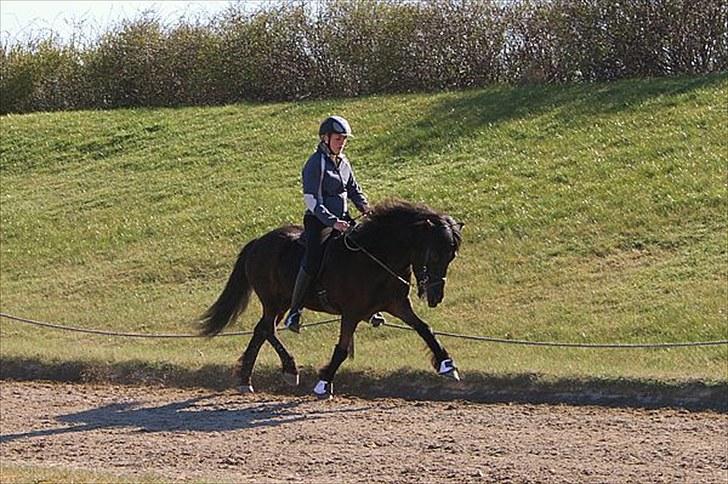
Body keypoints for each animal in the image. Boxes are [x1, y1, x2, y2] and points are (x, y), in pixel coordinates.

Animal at [196, 198, 464, 398]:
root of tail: (258, 242)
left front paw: (446, 364)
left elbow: (424, 328)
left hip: (281, 303)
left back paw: (246, 379)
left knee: (261, 331)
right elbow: (342, 349)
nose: (436, 296)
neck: (376, 256)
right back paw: (289, 369)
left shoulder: (397, 304)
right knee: (267, 329)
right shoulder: (351, 313)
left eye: (450, 256)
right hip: (274, 301)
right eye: (434, 254)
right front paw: (323, 382)